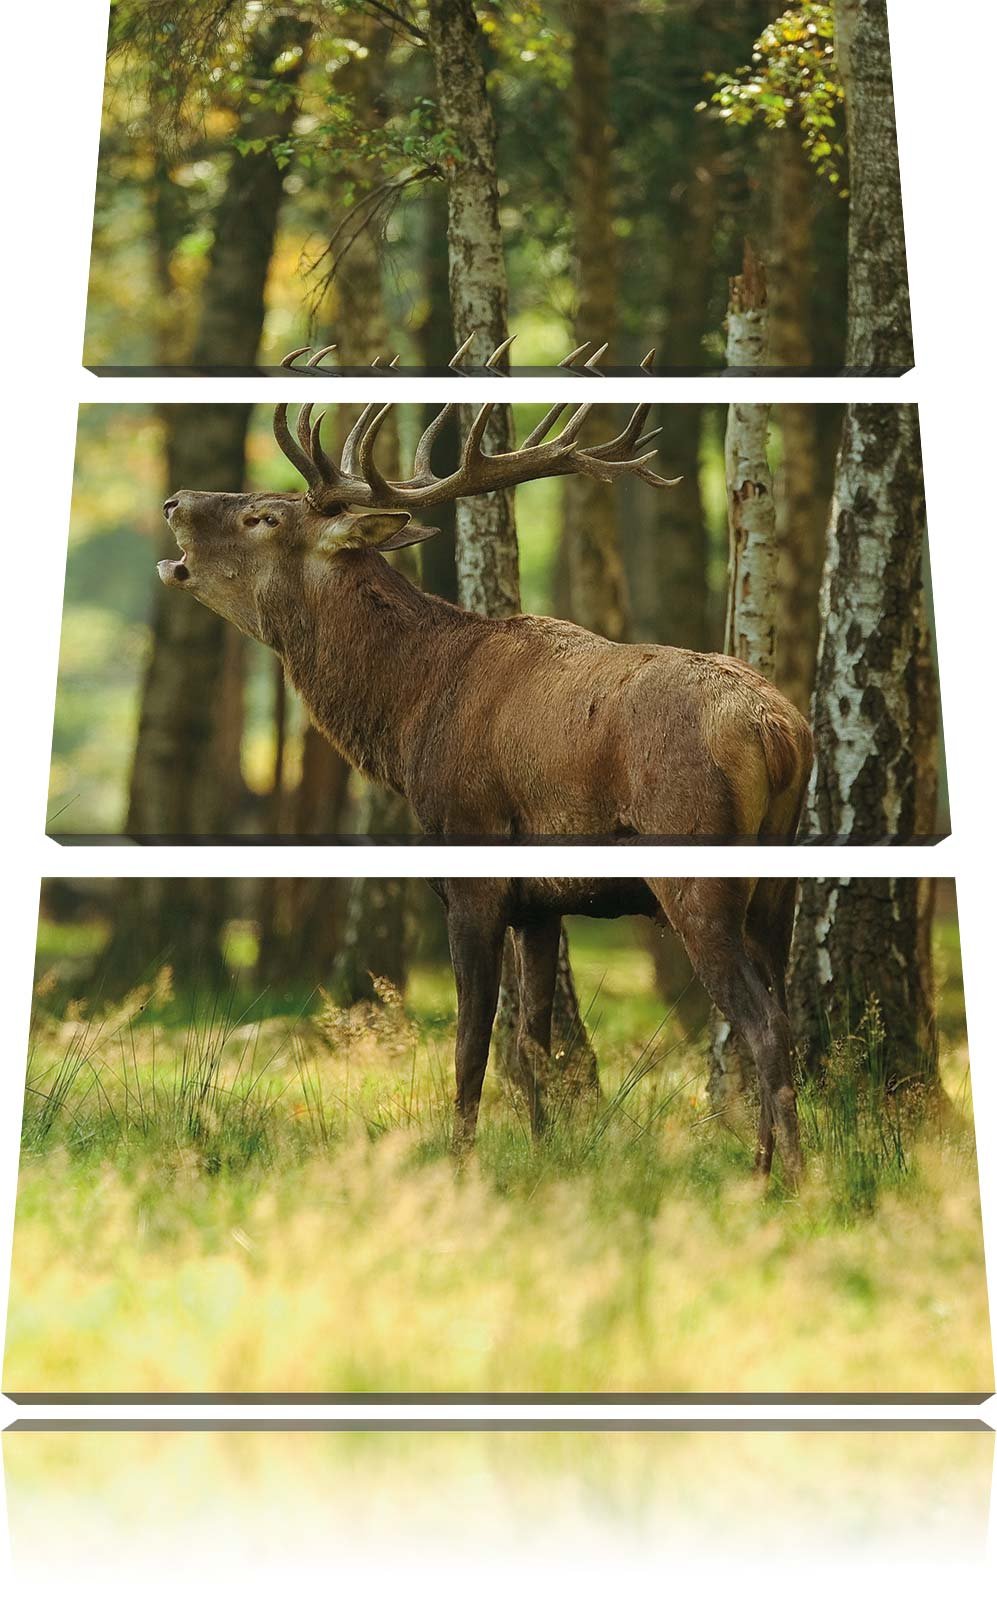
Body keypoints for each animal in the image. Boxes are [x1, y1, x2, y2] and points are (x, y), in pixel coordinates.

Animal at [157, 346, 814, 1180]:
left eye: (263, 516)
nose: (174, 501)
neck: (408, 717)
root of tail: (777, 732)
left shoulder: (471, 865)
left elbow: (471, 1040)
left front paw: (459, 1160)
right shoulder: (542, 902)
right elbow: (534, 1040)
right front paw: (543, 1153)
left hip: (694, 867)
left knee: (757, 1021)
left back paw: (781, 1180)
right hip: (779, 881)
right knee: (783, 1014)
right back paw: (767, 1165)